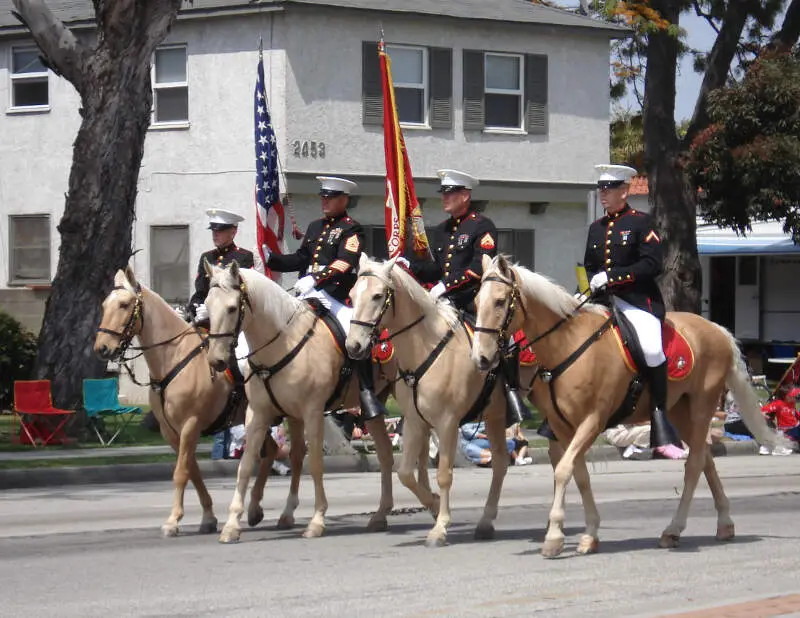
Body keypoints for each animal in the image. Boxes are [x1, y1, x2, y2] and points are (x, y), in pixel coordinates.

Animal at [94, 264, 262, 536]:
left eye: (125, 304)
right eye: (104, 305)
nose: (102, 348)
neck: (175, 356)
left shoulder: (190, 424)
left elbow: (181, 472)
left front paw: (173, 520)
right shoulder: (170, 430)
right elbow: (192, 470)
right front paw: (208, 517)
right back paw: (257, 511)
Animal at [205, 258, 406, 540]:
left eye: (233, 308)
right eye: (208, 305)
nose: (216, 360)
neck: (283, 342)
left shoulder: (312, 411)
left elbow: (315, 463)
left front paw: (317, 520)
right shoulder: (261, 413)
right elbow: (248, 464)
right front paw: (234, 524)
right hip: (374, 405)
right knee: (386, 454)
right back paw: (380, 515)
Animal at [346, 254, 540, 544]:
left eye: (378, 296)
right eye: (351, 295)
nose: (353, 346)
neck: (427, 348)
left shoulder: (447, 422)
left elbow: (444, 474)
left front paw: (440, 526)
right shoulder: (415, 420)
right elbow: (405, 472)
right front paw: (435, 505)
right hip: (495, 415)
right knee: (501, 463)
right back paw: (485, 522)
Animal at [472, 253, 784, 556]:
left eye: (500, 301)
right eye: (476, 302)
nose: (481, 359)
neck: (568, 345)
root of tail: (716, 328)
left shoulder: (592, 420)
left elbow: (563, 470)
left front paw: (554, 538)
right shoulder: (563, 426)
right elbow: (578, 473)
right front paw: (590, 534)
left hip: (701, 406)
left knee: (694, 464)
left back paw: (674, 528)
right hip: (679, 412)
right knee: (705, 458)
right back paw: (724, 523)